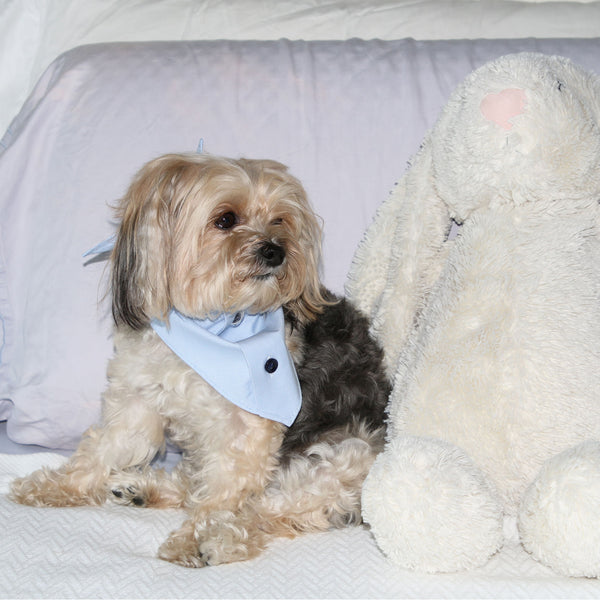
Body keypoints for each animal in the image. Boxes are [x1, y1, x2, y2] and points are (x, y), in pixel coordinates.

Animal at [12, 151, 394, 568]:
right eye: (225, 219)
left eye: (280, 219)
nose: (276, 251)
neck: (210, 325)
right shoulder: (137, 400)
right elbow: (104, 448)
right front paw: (57, 486)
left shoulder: (246, 433)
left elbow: (224, 494)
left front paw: (194, 538)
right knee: (195, 483)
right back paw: (140, 488)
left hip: (344, 459)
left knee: (270, 508)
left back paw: (219, 535)